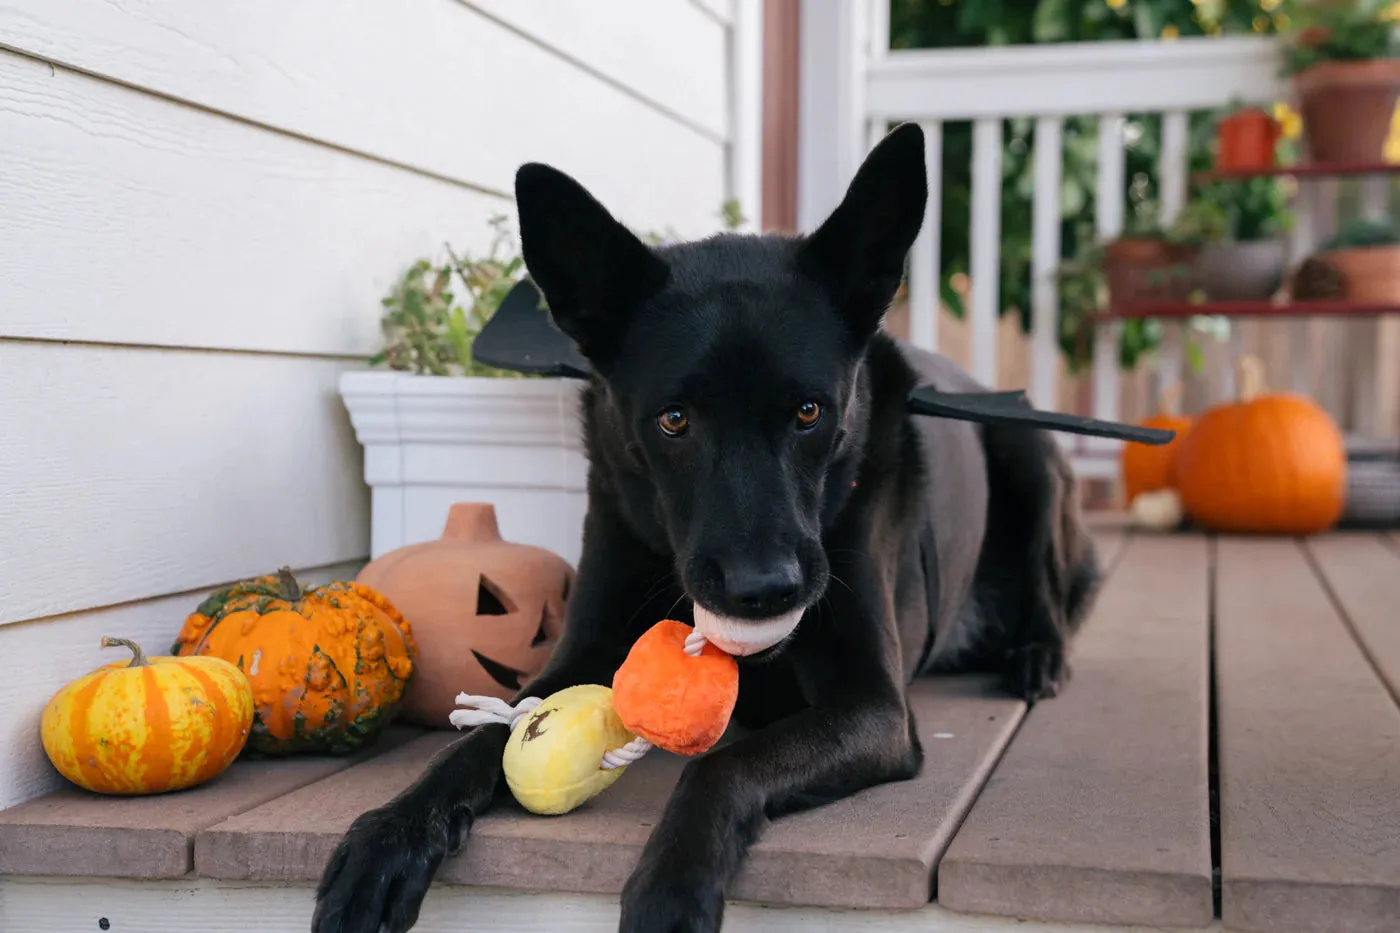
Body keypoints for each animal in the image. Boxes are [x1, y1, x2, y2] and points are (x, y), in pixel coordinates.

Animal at [312, 123, 1097, 930]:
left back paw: (1036, 656)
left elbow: (726, 761)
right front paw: (392, 833)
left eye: (809, 412)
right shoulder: (586, 646)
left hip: (1025, 446)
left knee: (1051, 590)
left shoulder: (875, 704)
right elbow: (491, 730)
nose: (765, 591)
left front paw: (672, 885)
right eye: (674, 420)